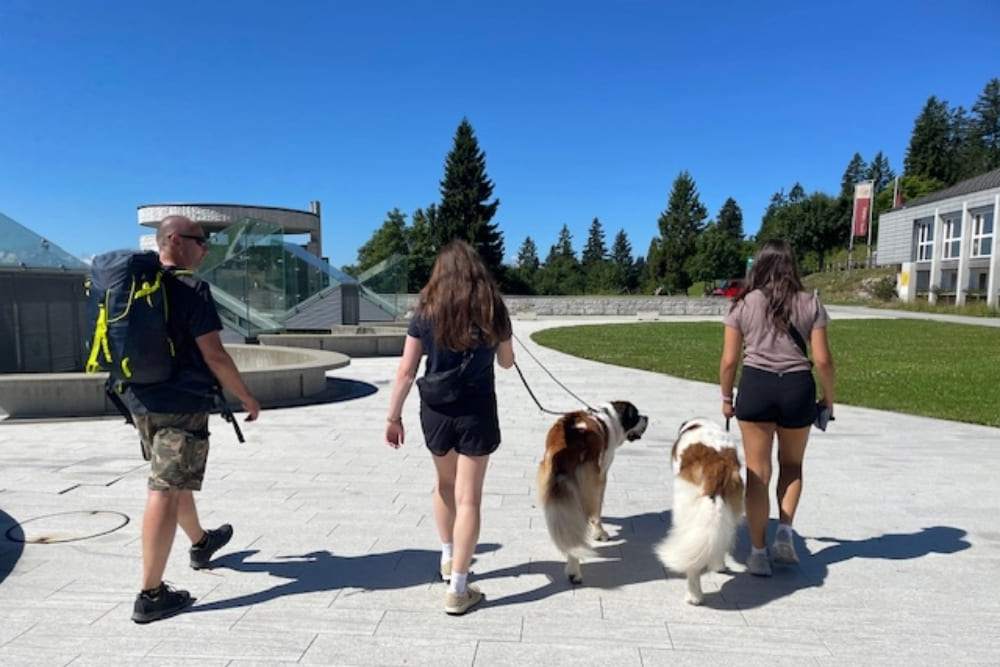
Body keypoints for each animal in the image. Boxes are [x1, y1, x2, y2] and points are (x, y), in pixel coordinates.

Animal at [540, 402, 648, 584]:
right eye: (635, 415)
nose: (646, 417)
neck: (608, 415)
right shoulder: (601, 476)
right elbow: (597, 512)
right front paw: (600, 534)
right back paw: (574, 571)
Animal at [660, 420, 748, 608]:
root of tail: (718, 464)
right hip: (731, 509)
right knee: (721, 539)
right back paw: (719, 565)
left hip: (685, 506)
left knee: (692, 564)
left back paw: (693, 596)